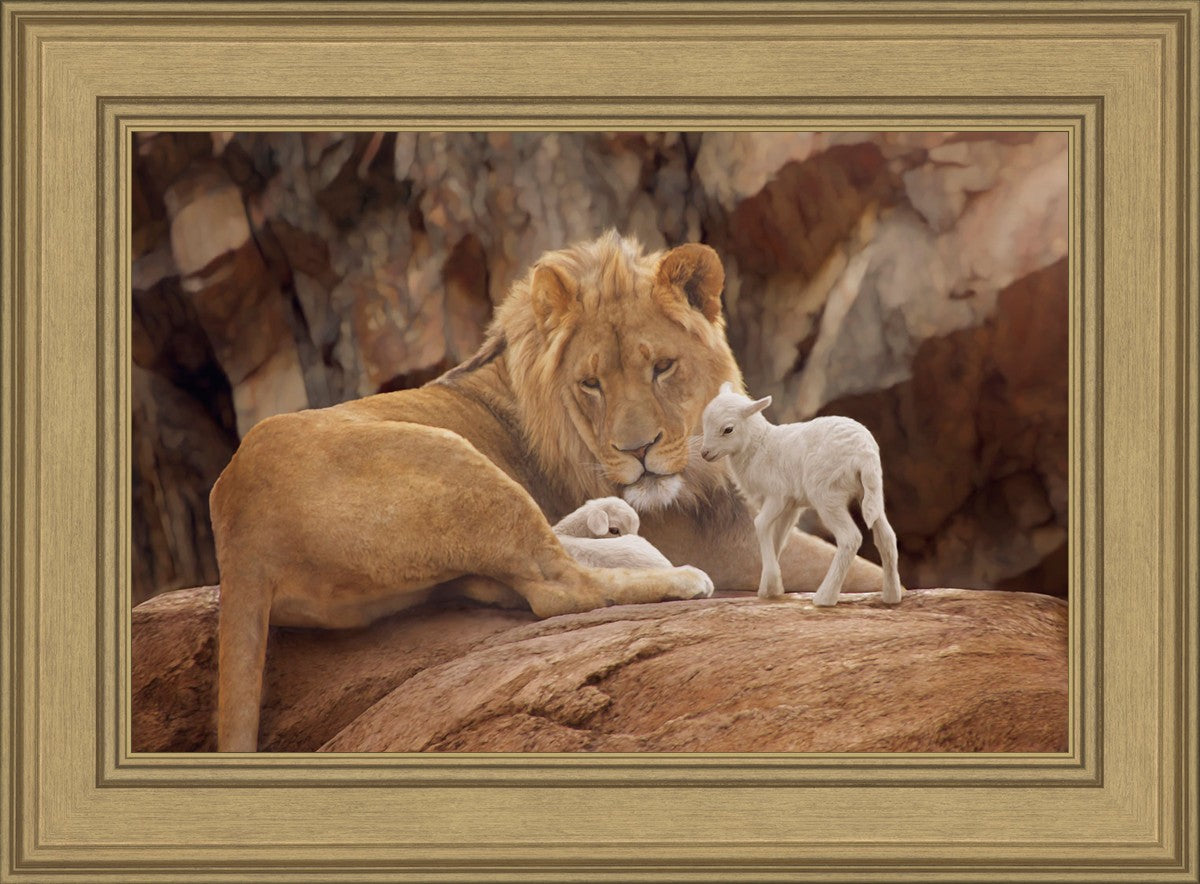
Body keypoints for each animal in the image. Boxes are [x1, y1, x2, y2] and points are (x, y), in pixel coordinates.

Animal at [210, 231, 882, 752]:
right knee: (557, 587)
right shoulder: (728, 545)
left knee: (518, 572)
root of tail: (238, 527)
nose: (638, 451)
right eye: (591, 383)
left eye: (662, 367)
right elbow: (858, 566)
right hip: (453, 460)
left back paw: (610, 522)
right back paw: (672, 575)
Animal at [699, 382, 903, 607]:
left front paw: (771, 584)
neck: (759, 446)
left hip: (827, 494)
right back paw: (891, 596)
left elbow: (760, 525)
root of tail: (864, 453)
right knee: (887, 537)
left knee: (850, 538)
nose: (704, 453)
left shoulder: (777, 495)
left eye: (728, 429)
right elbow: (778, 538)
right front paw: (770, 587)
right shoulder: (791, 506)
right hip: (871, 492)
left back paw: (825, 597)